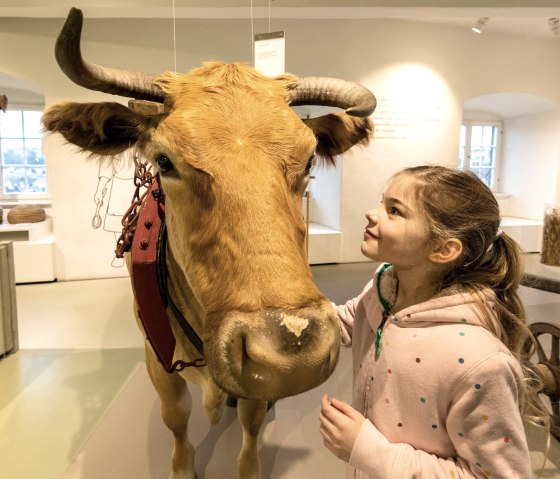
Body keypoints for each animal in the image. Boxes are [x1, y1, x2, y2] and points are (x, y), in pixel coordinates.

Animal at [42, 7, 376, 479]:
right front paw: (183, 468)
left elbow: (252, 420)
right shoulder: (158, 361)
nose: (293, 350)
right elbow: (175, 416)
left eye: (310, 158)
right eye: (164, 161)